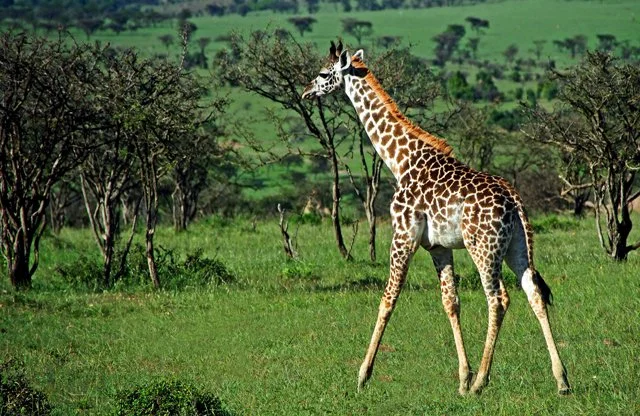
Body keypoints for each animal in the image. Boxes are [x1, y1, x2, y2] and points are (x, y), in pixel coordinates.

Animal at [301, 41, 571, 395]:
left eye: (323, 73)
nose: (305, 91)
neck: (401, 161)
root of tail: (514, 199)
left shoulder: (403, 235)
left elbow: (388, 299)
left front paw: (363, 374)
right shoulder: (438, 247)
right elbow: (451, 302)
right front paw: (462, 378)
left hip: (483, 248)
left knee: (498, 298)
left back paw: (483, 382)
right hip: (518, 246)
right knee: (534, 293)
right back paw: (561, 379)